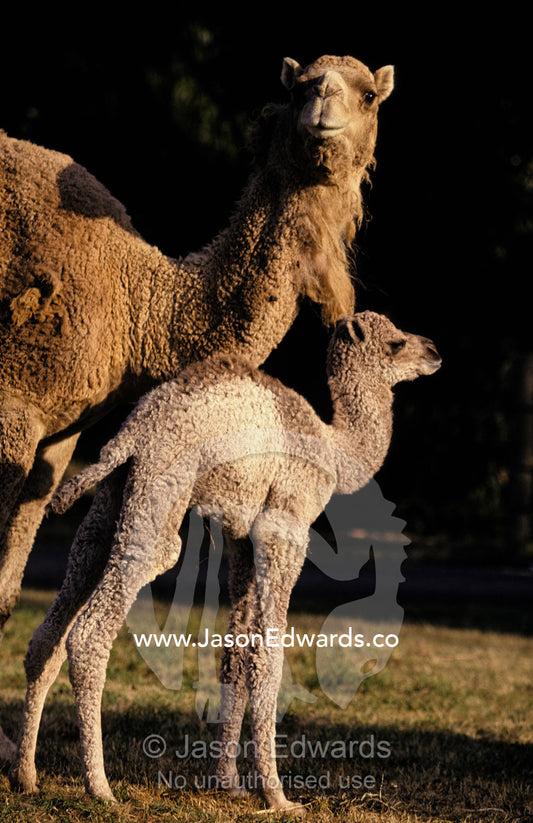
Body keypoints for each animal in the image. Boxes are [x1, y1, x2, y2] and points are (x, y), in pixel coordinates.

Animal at [9, 312, 440, 812]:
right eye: (395, 343)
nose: (433, 351)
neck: (333, 448)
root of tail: (131, 434)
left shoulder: (241, 538)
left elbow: (234, 651)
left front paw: (228, 782)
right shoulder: (284, 524)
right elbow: (268, 656)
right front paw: (278, 796)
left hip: (111, 499)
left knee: (50, 632)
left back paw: (25, 775)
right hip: (161, 493)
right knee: (93, 630)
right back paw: (100, 787)